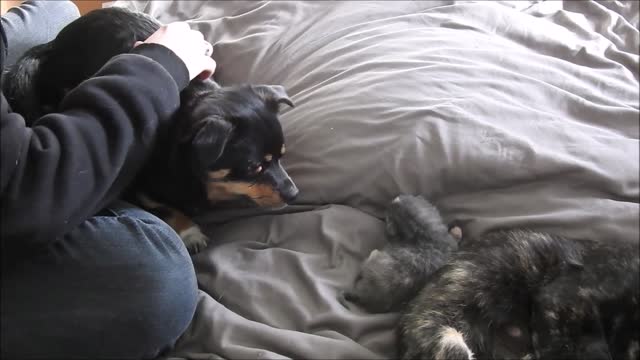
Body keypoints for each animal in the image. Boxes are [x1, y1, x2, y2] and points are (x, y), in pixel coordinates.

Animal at [2, 6, 298, 253]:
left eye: (282, 157)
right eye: (254, 167)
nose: (294, 195)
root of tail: (53, 44)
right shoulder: (133, 186)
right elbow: (163, 207)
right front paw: (190, 231)